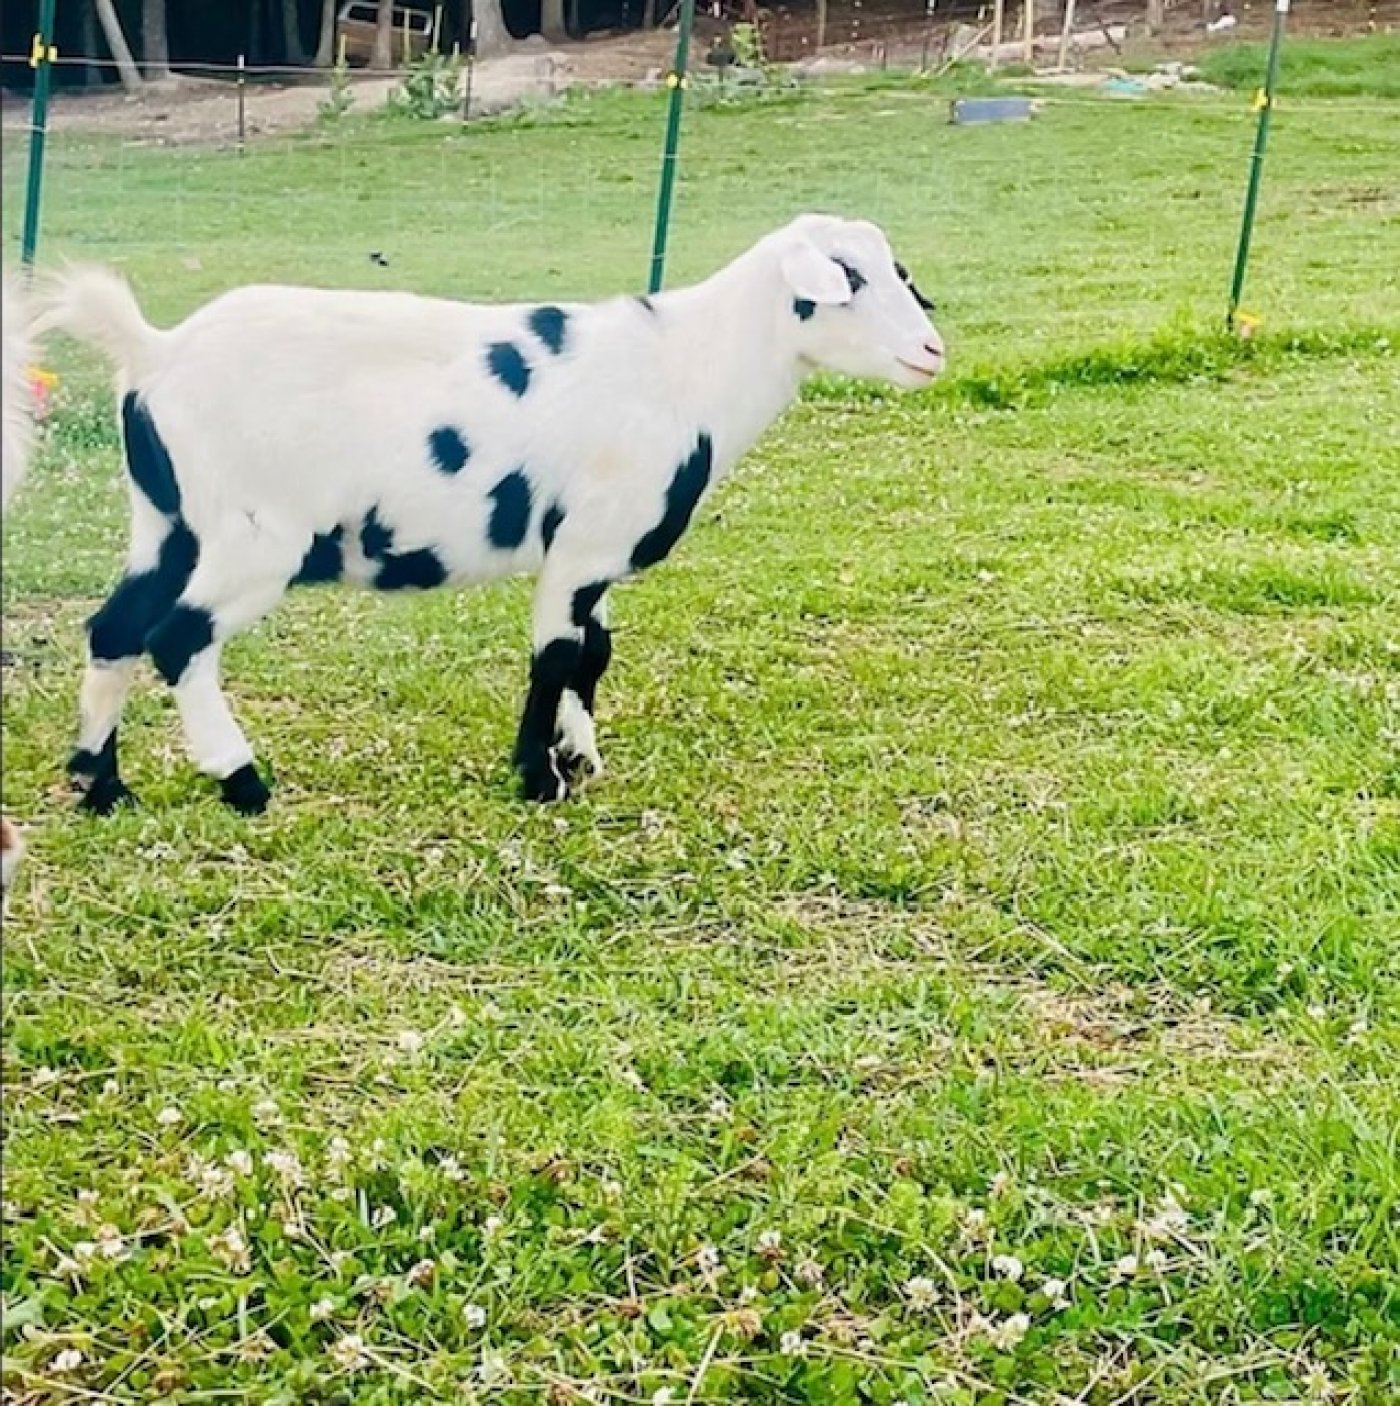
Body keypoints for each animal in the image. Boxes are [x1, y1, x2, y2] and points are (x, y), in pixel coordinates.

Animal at [43, 216, 944, 815]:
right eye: (847, 279)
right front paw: (539, 779)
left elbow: (593, 653)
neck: (686, 366)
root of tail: (155, 352)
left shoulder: (594, 552)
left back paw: (100, 783)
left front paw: (578, 756)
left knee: (116, 628)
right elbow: (556, 657)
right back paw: (240, 779)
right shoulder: (583, 543)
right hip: (255, 535)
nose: (933, 352)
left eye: (898, 270)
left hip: (167, 520)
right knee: (178, 638)